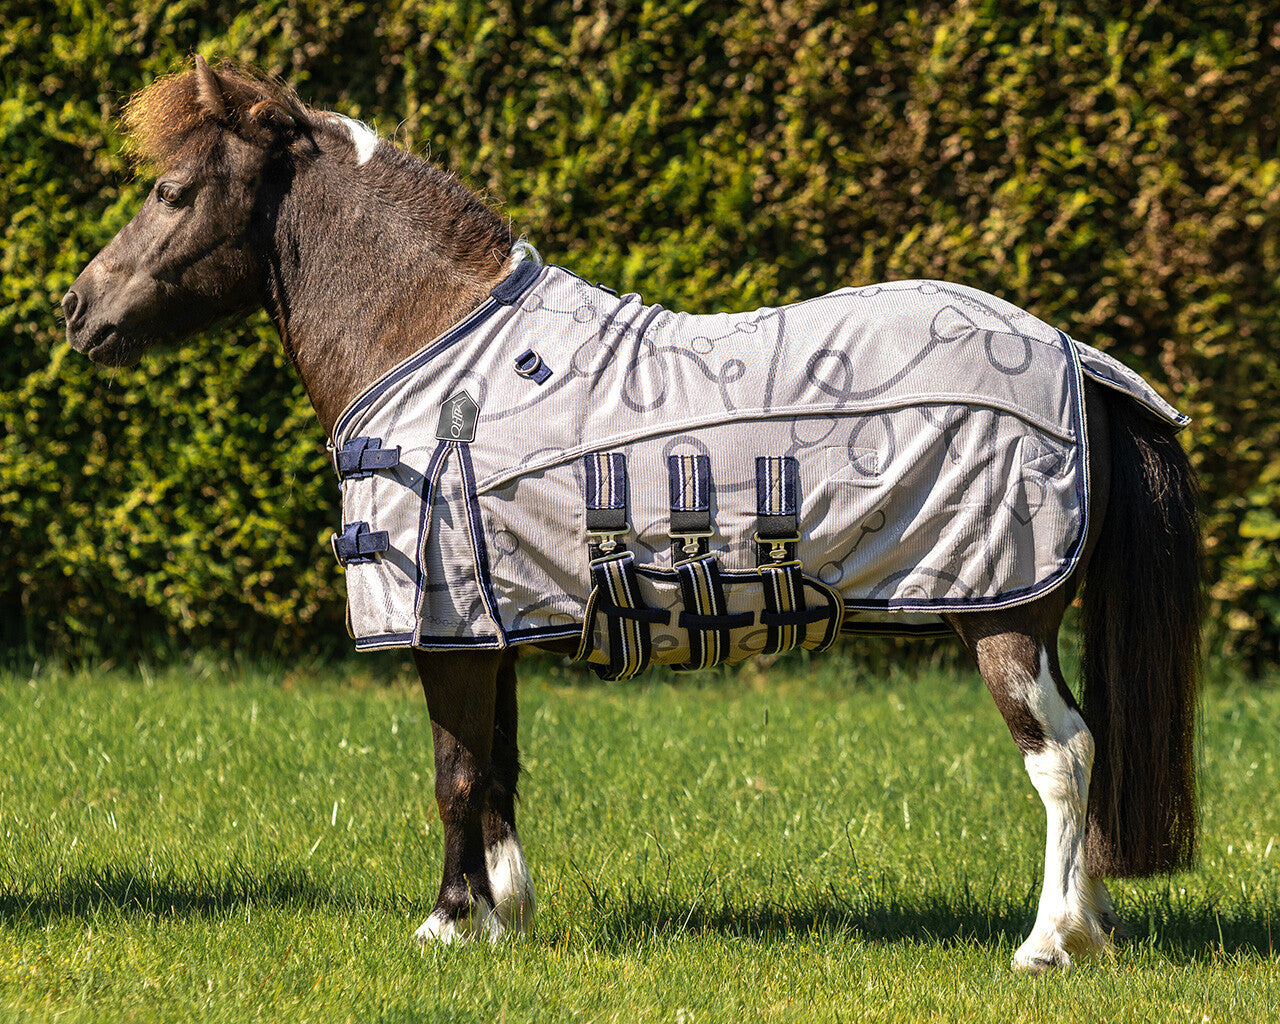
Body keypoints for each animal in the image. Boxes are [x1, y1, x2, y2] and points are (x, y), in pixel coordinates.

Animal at [61, 57, 1201, 972]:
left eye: (171, 191)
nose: (77, 309)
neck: (431, 339)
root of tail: (1073, 357)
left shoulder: (442, 624)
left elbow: (453, 772)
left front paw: (447, 925)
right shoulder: (487, 617)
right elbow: (498, 770)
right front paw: (504, 918)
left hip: (1000, 614)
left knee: (1061, 758)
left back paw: (1045, 942)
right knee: (1084, 750)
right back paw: (1092, 927)